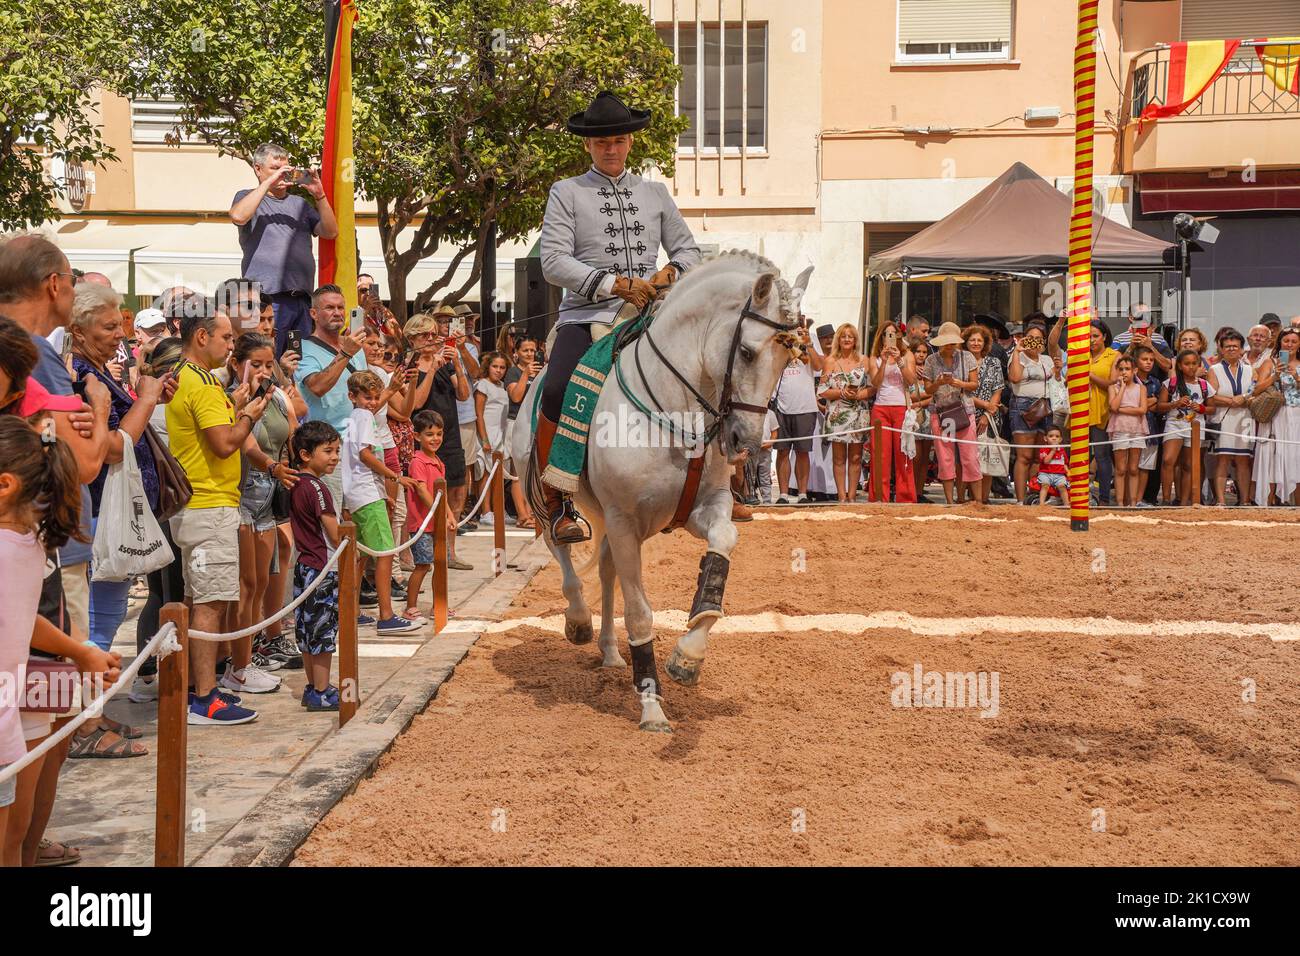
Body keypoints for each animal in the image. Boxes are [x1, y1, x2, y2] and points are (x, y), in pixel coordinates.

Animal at [509, 252, 806, 733]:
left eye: (787, 358)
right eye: (746, 352)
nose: (745, 441)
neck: (675, 409)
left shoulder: (701, 509)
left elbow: (723, 543)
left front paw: (689, 654)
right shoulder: (624, 521)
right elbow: (639, 611)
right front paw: (651, 704)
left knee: (606, 570)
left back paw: (612, 652)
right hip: (547, 504)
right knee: (564, 553)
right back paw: (578, 621)